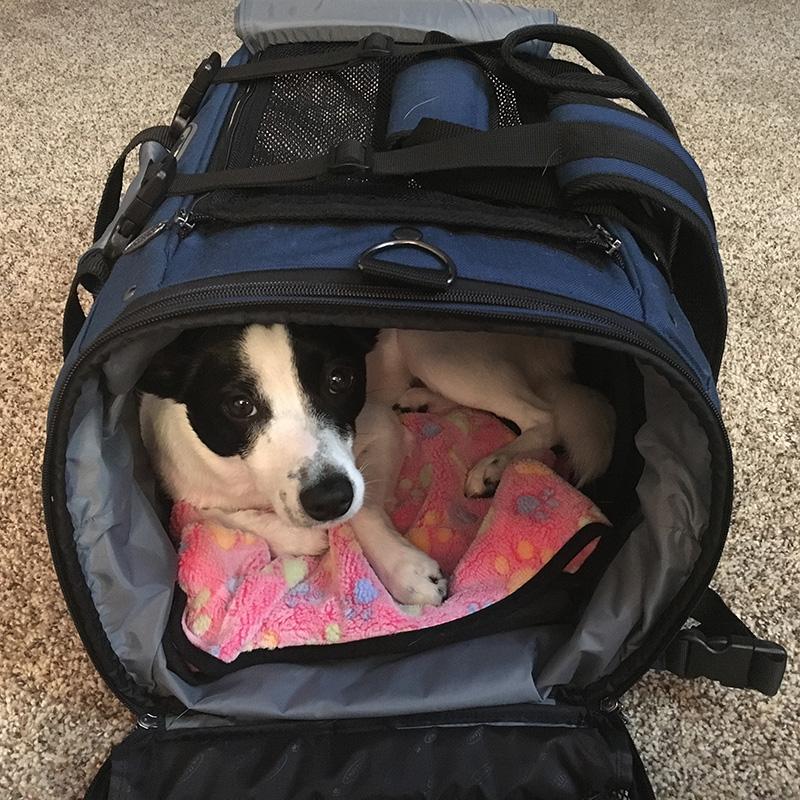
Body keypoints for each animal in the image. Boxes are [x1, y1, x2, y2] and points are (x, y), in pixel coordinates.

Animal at [138, 324, 616, 608]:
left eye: (339, 379)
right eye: (239, 405)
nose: (328, 499)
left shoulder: (380, 430)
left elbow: (363, 511)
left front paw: (406, 571)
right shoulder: (185, 487)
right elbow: (205, 515)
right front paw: (299, 538)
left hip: (435, 351)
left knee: (542, 415)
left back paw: (497, 463)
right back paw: (422, 400)